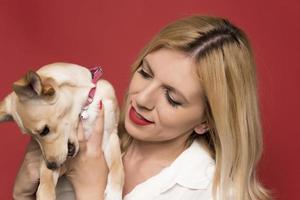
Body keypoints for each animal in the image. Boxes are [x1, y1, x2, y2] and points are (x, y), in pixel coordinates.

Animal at [0, 63, 123, 200]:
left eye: (44, 131)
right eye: (33, 138)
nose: (51, 165)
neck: (85, 106)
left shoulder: (110, 137)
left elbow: (118, 167)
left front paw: (114, 193)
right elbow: (46, 186)